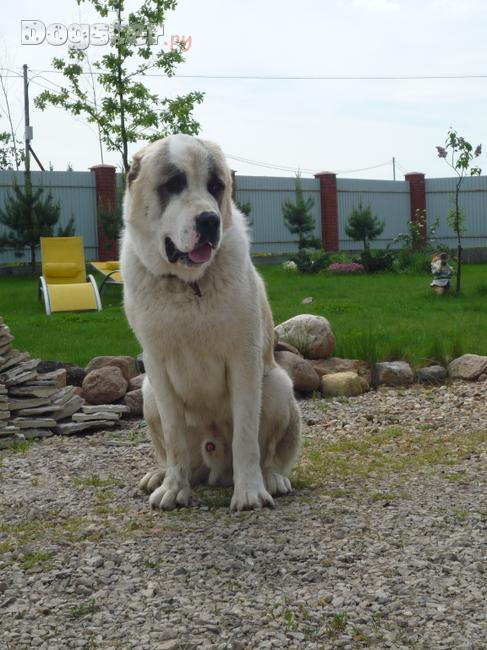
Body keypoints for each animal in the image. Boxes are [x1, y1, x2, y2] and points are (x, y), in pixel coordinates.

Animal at [120, 134, 301, 511]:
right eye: (174, 185)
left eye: (216, 186)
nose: (208, 221)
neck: (188, 286)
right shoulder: (156, 366)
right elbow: (173, 438)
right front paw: (174, 488)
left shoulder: (243, 360)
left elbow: (246, 436)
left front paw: (249, 492)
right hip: (146, 392)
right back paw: (160, 475)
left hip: (278, 385)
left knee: (271, 454)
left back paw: (272, 479)